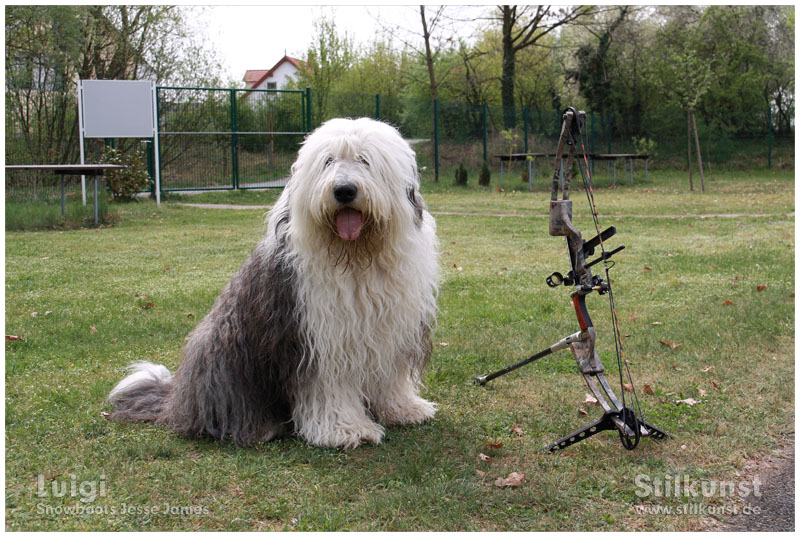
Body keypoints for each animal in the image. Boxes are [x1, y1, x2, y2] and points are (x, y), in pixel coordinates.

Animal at [107, 117, 440, 448]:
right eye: (328, 161)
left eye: (365, 160)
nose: (344, 190)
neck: (356, 256)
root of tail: (176, 400)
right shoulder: (317, 339)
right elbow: (329, 386)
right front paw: (345, 428)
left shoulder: (391, 331)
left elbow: (390, 377)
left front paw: (403, 409)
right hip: (226, 357)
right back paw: (259, 427)